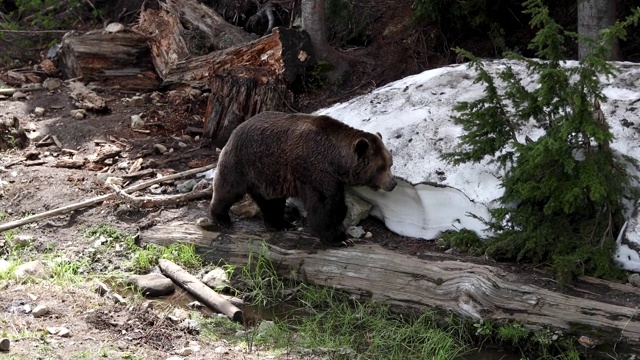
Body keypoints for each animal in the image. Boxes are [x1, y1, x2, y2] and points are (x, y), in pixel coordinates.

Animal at [210, 111, 398, 243]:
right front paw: (336, 236)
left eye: (390, 162)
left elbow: (337, 202)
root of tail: (235, 130)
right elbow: (324, 203)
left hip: (269, 174)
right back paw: (221, 218)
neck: (336, 160)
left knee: (271, 201)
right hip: (244, 161)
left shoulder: (332, 177)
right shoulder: (314, 168)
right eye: (381, 167)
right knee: (228, 189)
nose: (393, 183)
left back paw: (281, 224)